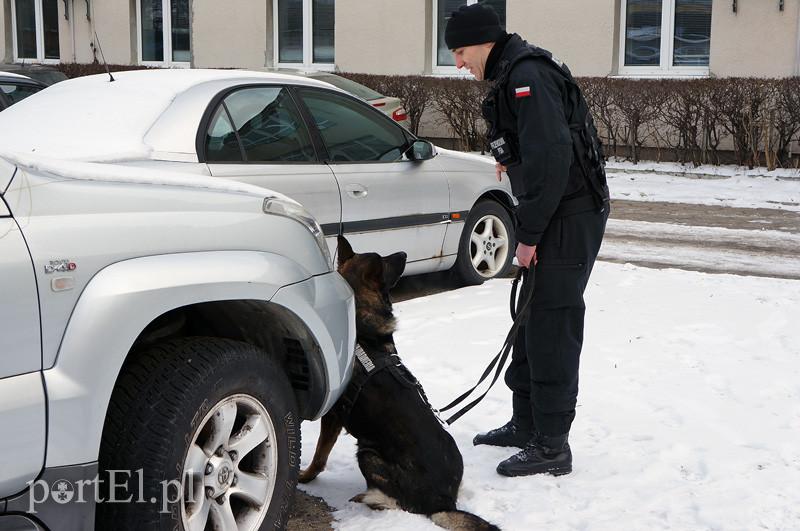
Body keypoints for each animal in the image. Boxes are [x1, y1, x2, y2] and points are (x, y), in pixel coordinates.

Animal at [300, 238, 500, 531]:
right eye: (386, 260)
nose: (404, 253)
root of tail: (444, 503)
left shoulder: (334, 416)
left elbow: (319, 455)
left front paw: (305, 476)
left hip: (367, 452)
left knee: (400, 504)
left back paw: (369, 498)